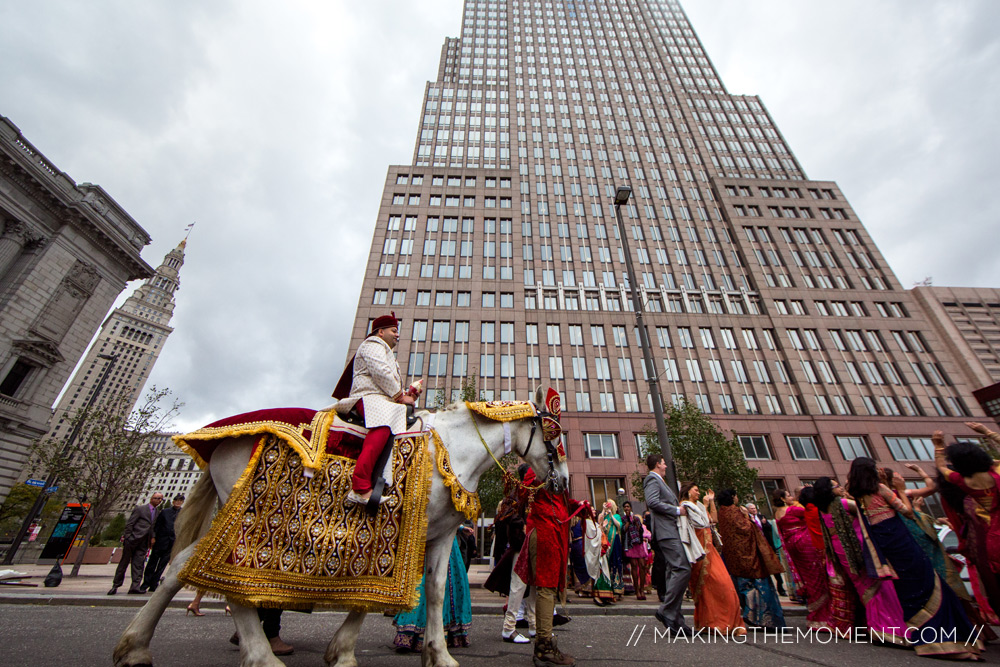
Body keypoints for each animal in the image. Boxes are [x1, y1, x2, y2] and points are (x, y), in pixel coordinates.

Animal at [113, 386, 568, 667]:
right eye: (554, 435)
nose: (563, 481)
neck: (451, 450)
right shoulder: (401, 529)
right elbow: (377, 590)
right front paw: (344, 651)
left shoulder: (439, 535)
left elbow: (436, 591)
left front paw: (439, 654)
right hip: (247, 515)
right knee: (230, 583)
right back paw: (262, 656)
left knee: (180, 566)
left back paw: (134, 648)